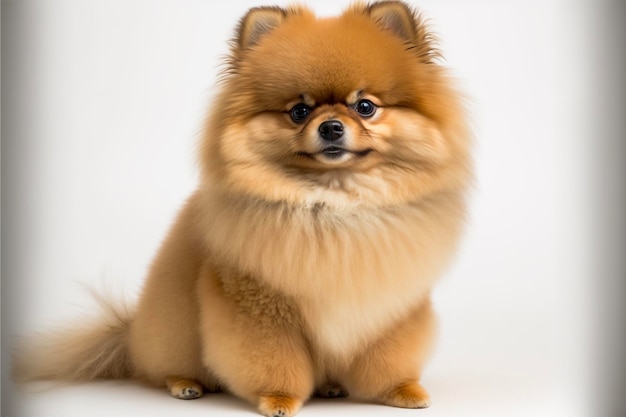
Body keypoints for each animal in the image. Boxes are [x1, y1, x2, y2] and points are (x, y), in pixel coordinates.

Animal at [12, 1, 470, 414]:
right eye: (299, 111)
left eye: (365, 106)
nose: (330, 126)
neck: (332, 203)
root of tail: (130, 336)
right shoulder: (258, 304)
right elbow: (273, 359)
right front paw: (279, 399)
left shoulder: (390, 303)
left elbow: (390, 356)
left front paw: (401, 390)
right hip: (176, 329)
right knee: (166, 367)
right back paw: (185, 385)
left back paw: (331, 386)